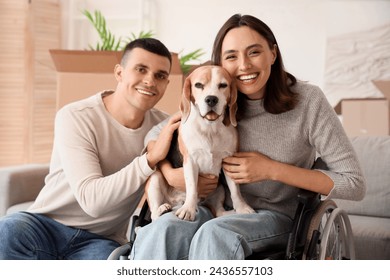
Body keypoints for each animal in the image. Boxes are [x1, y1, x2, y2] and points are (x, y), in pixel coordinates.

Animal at [148, 65, 254, 221]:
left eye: (223, 85)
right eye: (198, 85)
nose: (211, 99)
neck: (209, 127)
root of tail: (177, 201)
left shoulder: (229, 160)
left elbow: (235, 190)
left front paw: (242, 208)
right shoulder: (190, 160)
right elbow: (192, 187)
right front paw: (188, 210)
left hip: (219, 188)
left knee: (218, 212)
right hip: (155, 178)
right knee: (154, 215)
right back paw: (163, 209)